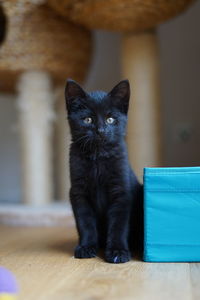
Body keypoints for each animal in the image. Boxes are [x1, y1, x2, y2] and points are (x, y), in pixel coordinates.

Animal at [65, 79, 143, 262]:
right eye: (87, 119)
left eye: (110, 119)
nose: (100, 130)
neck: (98, 158)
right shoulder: (78, 192)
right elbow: (85, 222)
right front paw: (86, 247)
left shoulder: (122, 192)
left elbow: (118, 225)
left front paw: (118, 252)